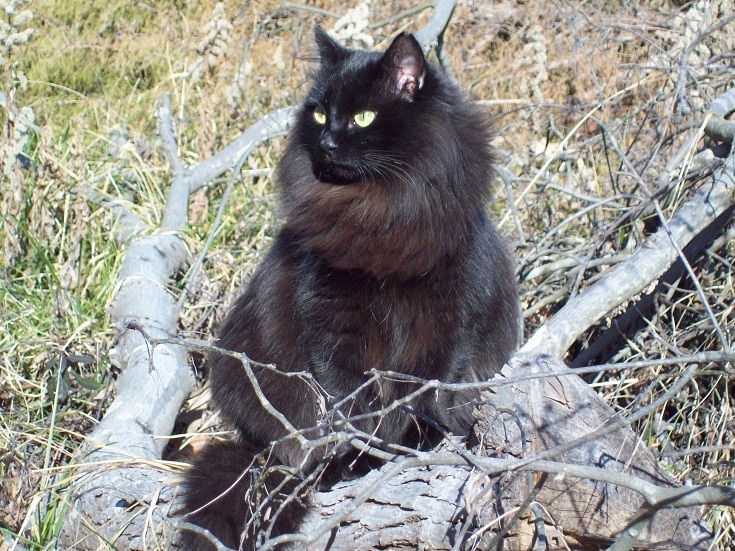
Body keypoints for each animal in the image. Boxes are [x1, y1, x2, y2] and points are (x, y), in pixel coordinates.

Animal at [180, 27, 520, 551]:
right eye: (320, 112)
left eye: (362, 117)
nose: (327, 139)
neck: (379, 213)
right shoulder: (331, 321)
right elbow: (350, 402)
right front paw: (359, 459)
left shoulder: (454, 317)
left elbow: (430, 389)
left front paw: (418, 441)